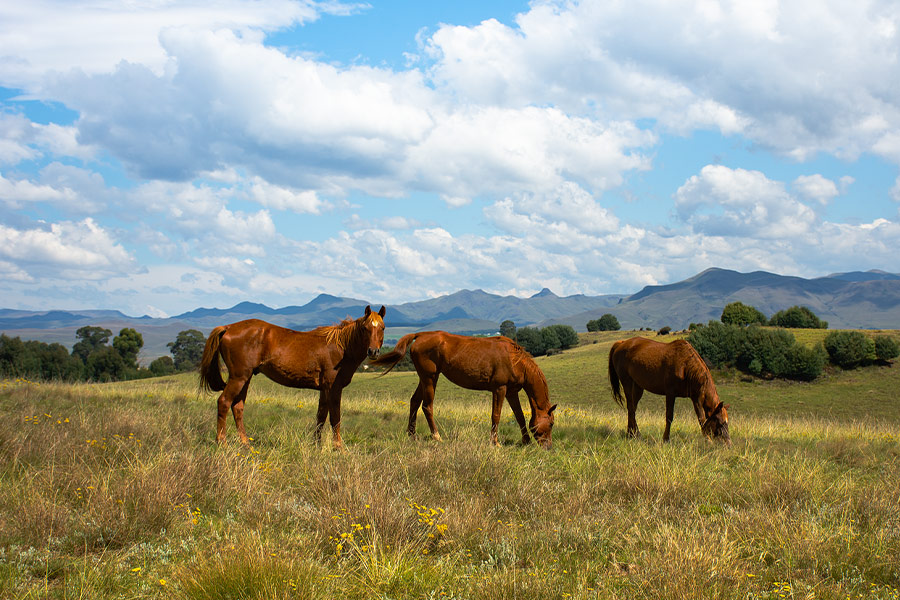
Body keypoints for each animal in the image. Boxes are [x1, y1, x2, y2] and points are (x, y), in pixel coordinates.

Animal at [198, 305, 386, 449]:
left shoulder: (324, 389)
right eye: (365, 328)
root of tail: (228, 327)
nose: (373, 351)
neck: (341, 346)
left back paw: (245, 443)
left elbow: (321, 416)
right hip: (238, 377)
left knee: (237, 407)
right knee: (224, 402)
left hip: (245, 378)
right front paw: (338, 447)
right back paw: (221, 442)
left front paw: (316, 444)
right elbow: (335, 418)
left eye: (382, 328)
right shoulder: (333, 387)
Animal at [370, 331, 557, 448]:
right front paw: (495, 443)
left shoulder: (511, 392)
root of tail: (421, 335)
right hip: (430, 378)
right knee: (427, 406)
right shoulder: (500, 389)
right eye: (551, 423)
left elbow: (519, 417)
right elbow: (496, 415)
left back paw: (412, 435)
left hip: (424, 379)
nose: (548, 447)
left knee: (414, 402)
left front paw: (526, 441)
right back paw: (436, 436)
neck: (515, 360)